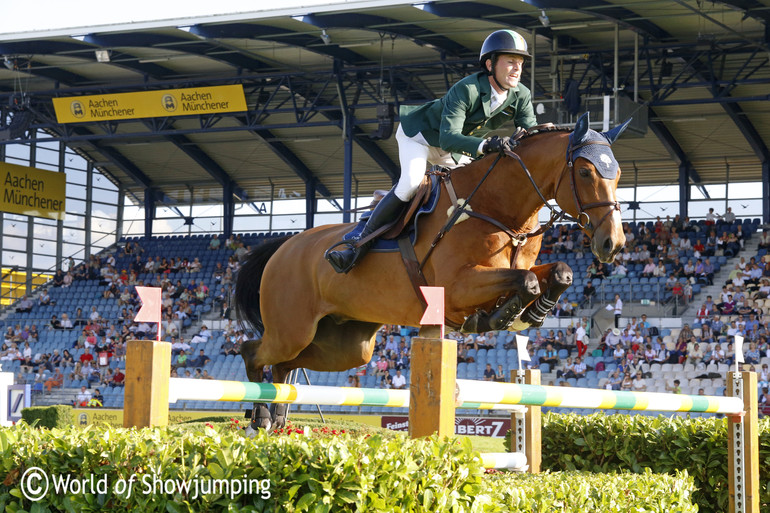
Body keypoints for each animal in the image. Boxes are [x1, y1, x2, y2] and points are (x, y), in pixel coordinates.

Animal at [237, 113, 628, 432]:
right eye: (585, 172)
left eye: (619, 175)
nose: (613, 243)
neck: (497, 208)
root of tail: (284, 246)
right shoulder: (456, 288)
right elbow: (528, 282)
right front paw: (501, 316)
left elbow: (559, 272)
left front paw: (529, 314)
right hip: (294, 328)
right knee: (253, 350)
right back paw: (260, 414)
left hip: (348, 346)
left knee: (284, 364)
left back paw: (275, 413)